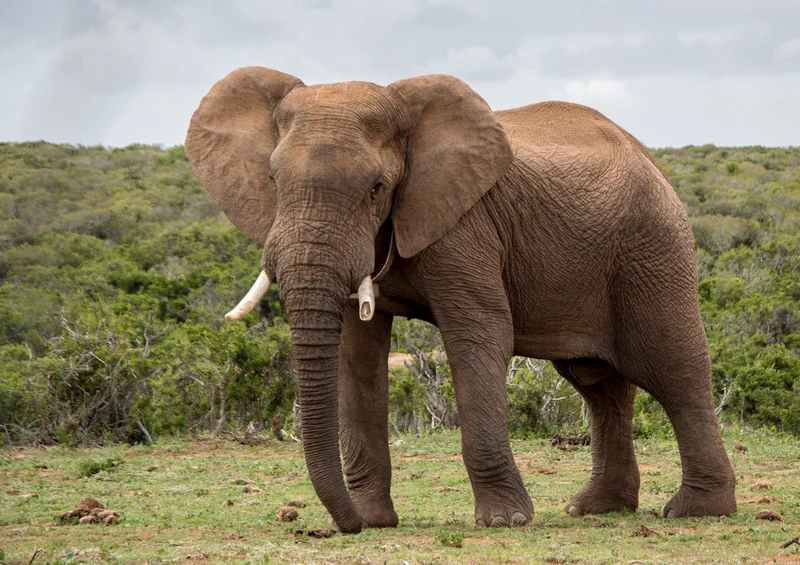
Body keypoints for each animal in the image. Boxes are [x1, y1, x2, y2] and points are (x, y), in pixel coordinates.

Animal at [185, 66, 737, 533]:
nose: (345, 526)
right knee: (598, 385)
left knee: (673, 368)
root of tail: (650, 157)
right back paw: (596, 508)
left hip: (652, 247)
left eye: (377, 188)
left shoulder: (465, 224)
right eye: (273, 181)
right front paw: (374, 520)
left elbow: (479, 334)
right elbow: (356, 353)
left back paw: (696, 512)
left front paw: (505, 522)